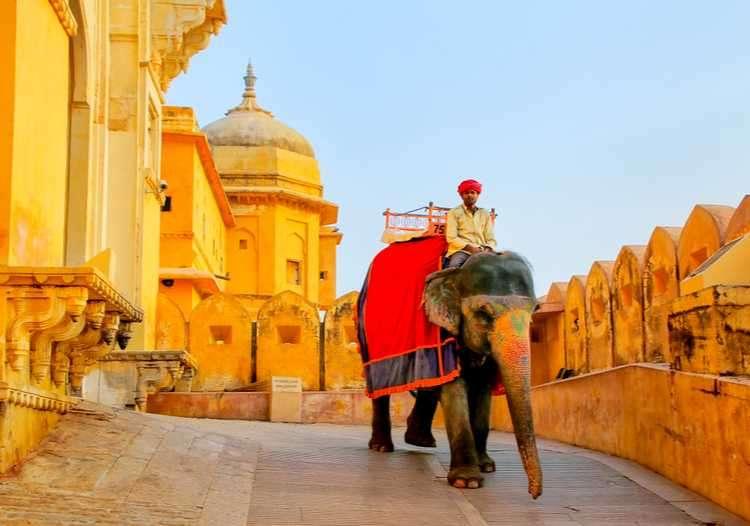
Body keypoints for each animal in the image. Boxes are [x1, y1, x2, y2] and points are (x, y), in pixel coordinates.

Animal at [367, 251, 542, 498]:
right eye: (483, 313)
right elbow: (454, 388)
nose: (534, 494)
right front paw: (467, 482)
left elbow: (482, 391)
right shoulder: (441, 331)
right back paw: (382, 447)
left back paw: (419, 441)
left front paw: (486, 466)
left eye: (535, 311)